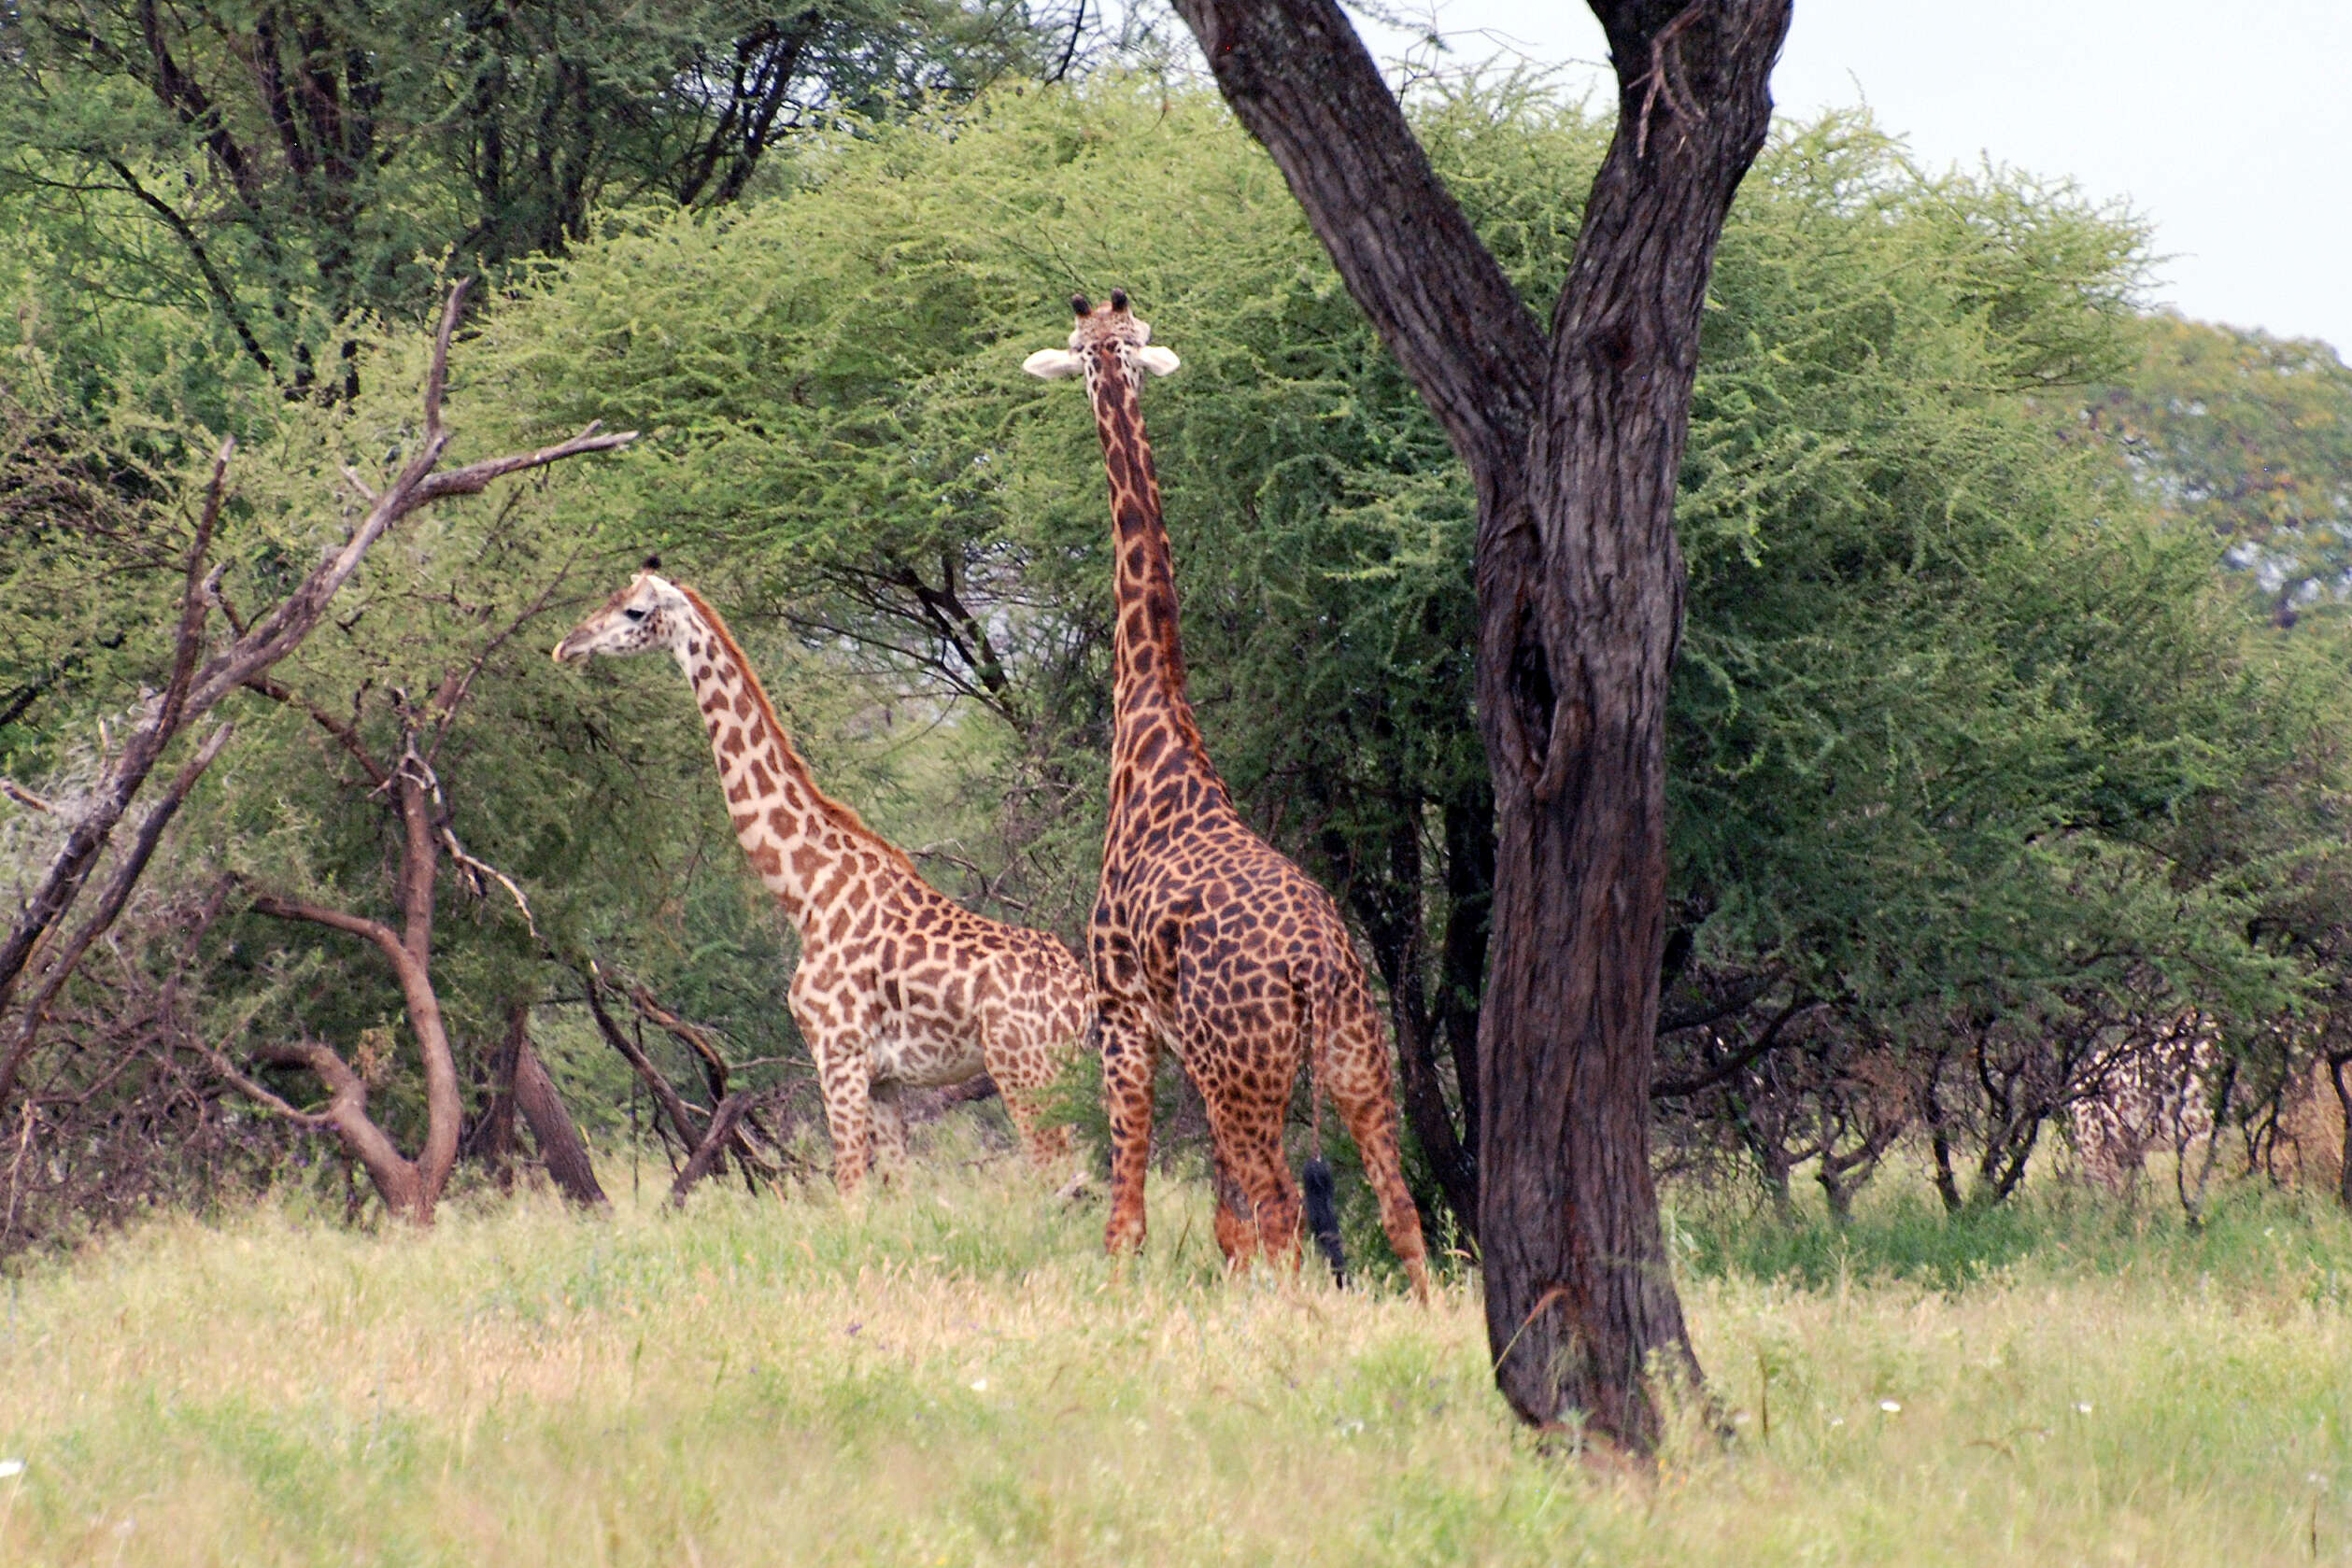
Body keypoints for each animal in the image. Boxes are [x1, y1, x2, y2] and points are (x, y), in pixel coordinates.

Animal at [555, 571, 1096, 1194]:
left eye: (635, 611)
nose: (566, 646)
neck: (808, 890)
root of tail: (1082, 997)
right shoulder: (884, 1077)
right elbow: (899, 1192)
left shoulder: (837, 1056)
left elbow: (850, 1192)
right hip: (1057, 1073)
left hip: (1025, 1070)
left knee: (1064, 1179)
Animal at [1020, 288, 1420, 1297]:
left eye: (1090, 347)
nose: (1098, 353)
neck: (1154, 733)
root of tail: (1316, 968)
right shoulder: (1183, 1048)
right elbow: (1223, 1229)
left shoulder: (1123, 1020)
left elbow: (1128, 1216)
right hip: (1353, 1060)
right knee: (1394, 1208)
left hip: (1248, 1069)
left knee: (1284, 1211)